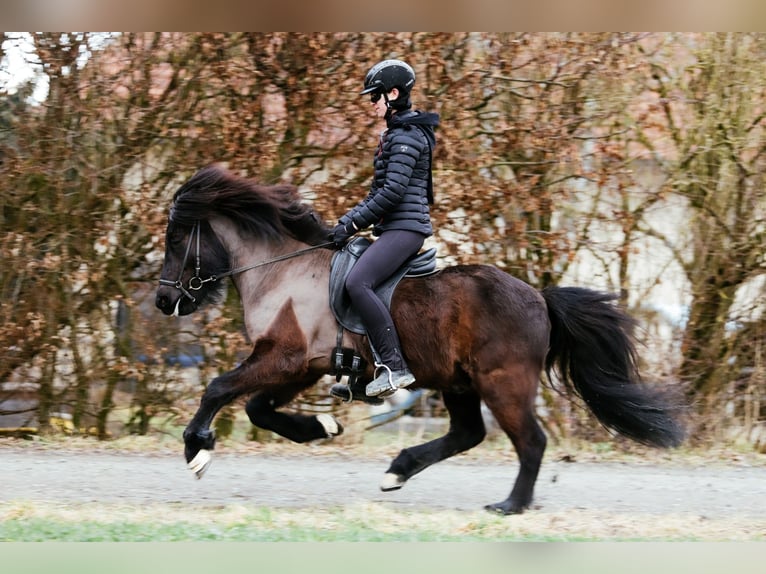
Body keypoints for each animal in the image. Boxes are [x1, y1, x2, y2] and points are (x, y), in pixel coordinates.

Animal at [154, 164, 684, 516]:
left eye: (177, 240)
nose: (163, 301)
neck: (282, 270)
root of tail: (538, 296)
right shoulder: (304, 366)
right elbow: (258, 409)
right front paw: (322, 428)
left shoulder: (283, 358)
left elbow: (219, 389)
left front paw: (196, 451)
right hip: (460, 383)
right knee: (468, 434)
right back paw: (400, 470)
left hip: (503, 383)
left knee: (530, 441)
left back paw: (511, 504)